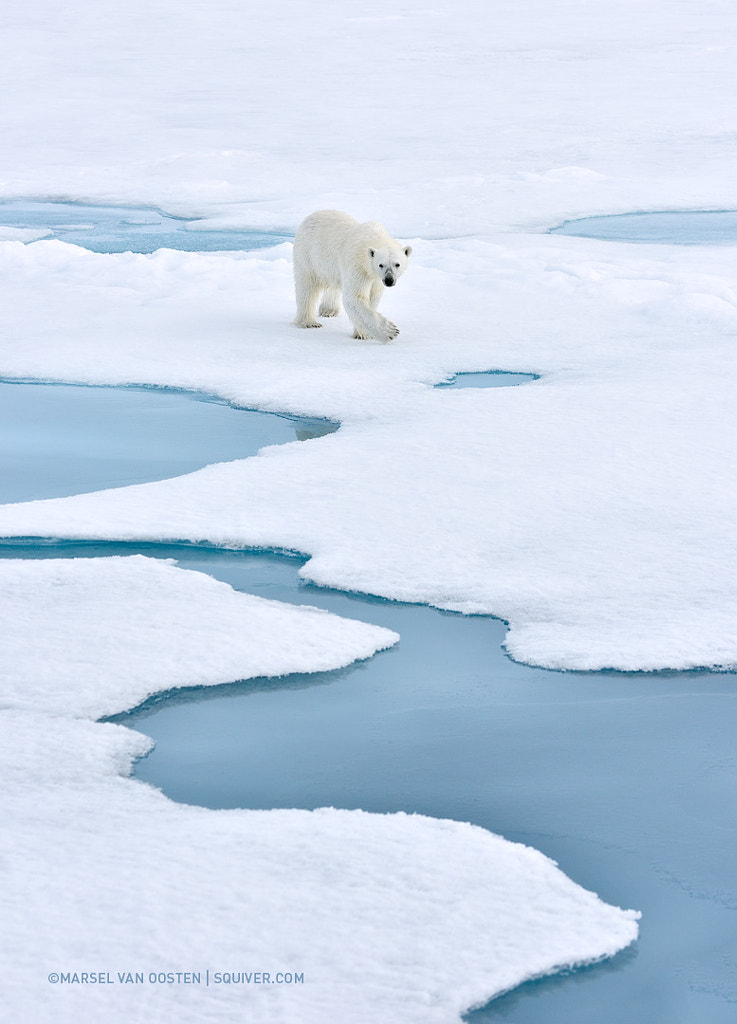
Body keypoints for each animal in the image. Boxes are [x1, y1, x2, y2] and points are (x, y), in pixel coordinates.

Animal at [292, 209, 409, 342]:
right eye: (381, 265)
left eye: (397, 264)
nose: (389, 280)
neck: (373, 238)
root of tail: (310, 216)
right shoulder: (357, 265)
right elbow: (355, 297)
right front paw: (390, 331)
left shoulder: (376, 278)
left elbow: (373, 297)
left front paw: (363, 333)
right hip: (308, 255)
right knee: (307, 288)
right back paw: (309, 322)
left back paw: (329, 310)